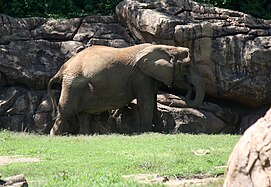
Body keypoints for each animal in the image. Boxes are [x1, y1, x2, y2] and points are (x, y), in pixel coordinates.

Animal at [48, 43, 206, 135]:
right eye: (186, 66)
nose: (189, 88)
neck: (168, 48)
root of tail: (62, 68)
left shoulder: (150, 76)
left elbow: (152, 101)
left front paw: (159, 130)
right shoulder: (141, 76)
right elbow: (146, 101)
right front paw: (146, 132)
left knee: (84, 115)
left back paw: (85, 135)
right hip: (73, 84)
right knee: (66, 111)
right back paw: (54, 136)